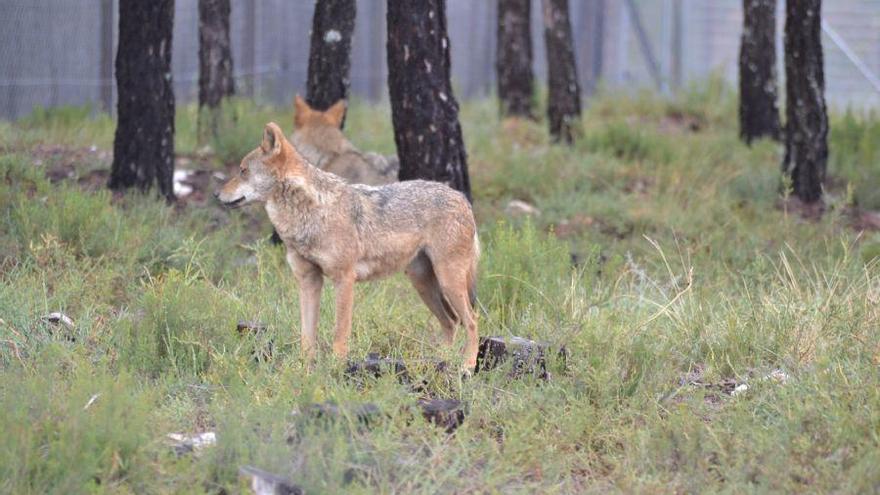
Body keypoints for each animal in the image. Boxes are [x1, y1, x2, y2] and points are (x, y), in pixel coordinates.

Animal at [216, 123, 480, 369]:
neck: (311, 214)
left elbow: (339, 331)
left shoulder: (343, 279)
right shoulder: (308, 281)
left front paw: (336, 367)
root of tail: (462, 198)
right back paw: (440, 362)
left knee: (471, 320)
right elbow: (306, 334)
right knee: (451, 322)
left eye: (243, 171)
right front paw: (303, 369)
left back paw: (467, 365)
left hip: (448, 281)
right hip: (423, 283)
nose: (216, 195)